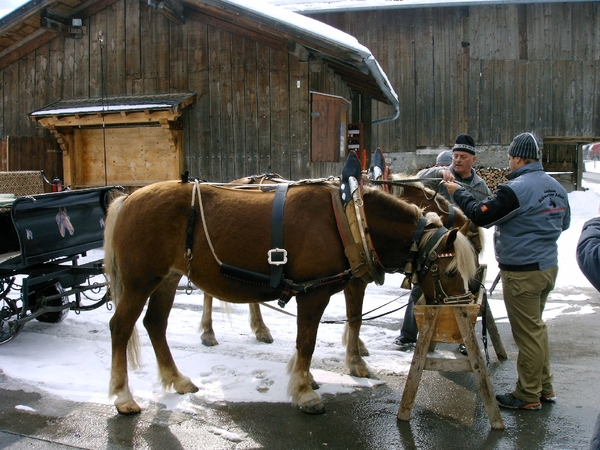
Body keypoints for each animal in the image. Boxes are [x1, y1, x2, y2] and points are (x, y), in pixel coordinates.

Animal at [104, 178, 478, 414]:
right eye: (449, 272)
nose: (463, 320)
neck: (349, 221)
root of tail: (128, 199)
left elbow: (326, 332)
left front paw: (310, 379)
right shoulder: (313, 293)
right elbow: (307, 342)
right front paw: (303, 392)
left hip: (167, 278)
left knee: (155, 324)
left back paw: (177, 379)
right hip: (140, 281)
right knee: (121, 327)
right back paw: (123, 396)